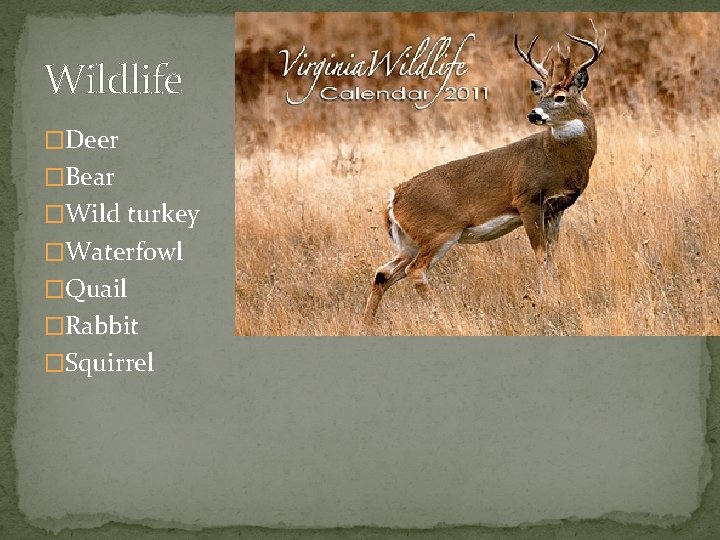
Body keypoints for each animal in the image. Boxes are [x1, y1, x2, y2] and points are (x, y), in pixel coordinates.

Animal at [364, 20, 606, 324]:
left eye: (560, 97)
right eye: (541, 94)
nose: (533, 115)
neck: (557, 160)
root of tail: (392, 199)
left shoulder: (556, 208)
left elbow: (551, 255)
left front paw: (555, 295)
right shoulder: (526, 198)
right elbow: (539, 254)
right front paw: (548, 301)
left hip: (409, 242)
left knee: (383, 272)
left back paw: (366, 323)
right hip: (439, 231)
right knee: (415, 271)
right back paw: (442, 315)